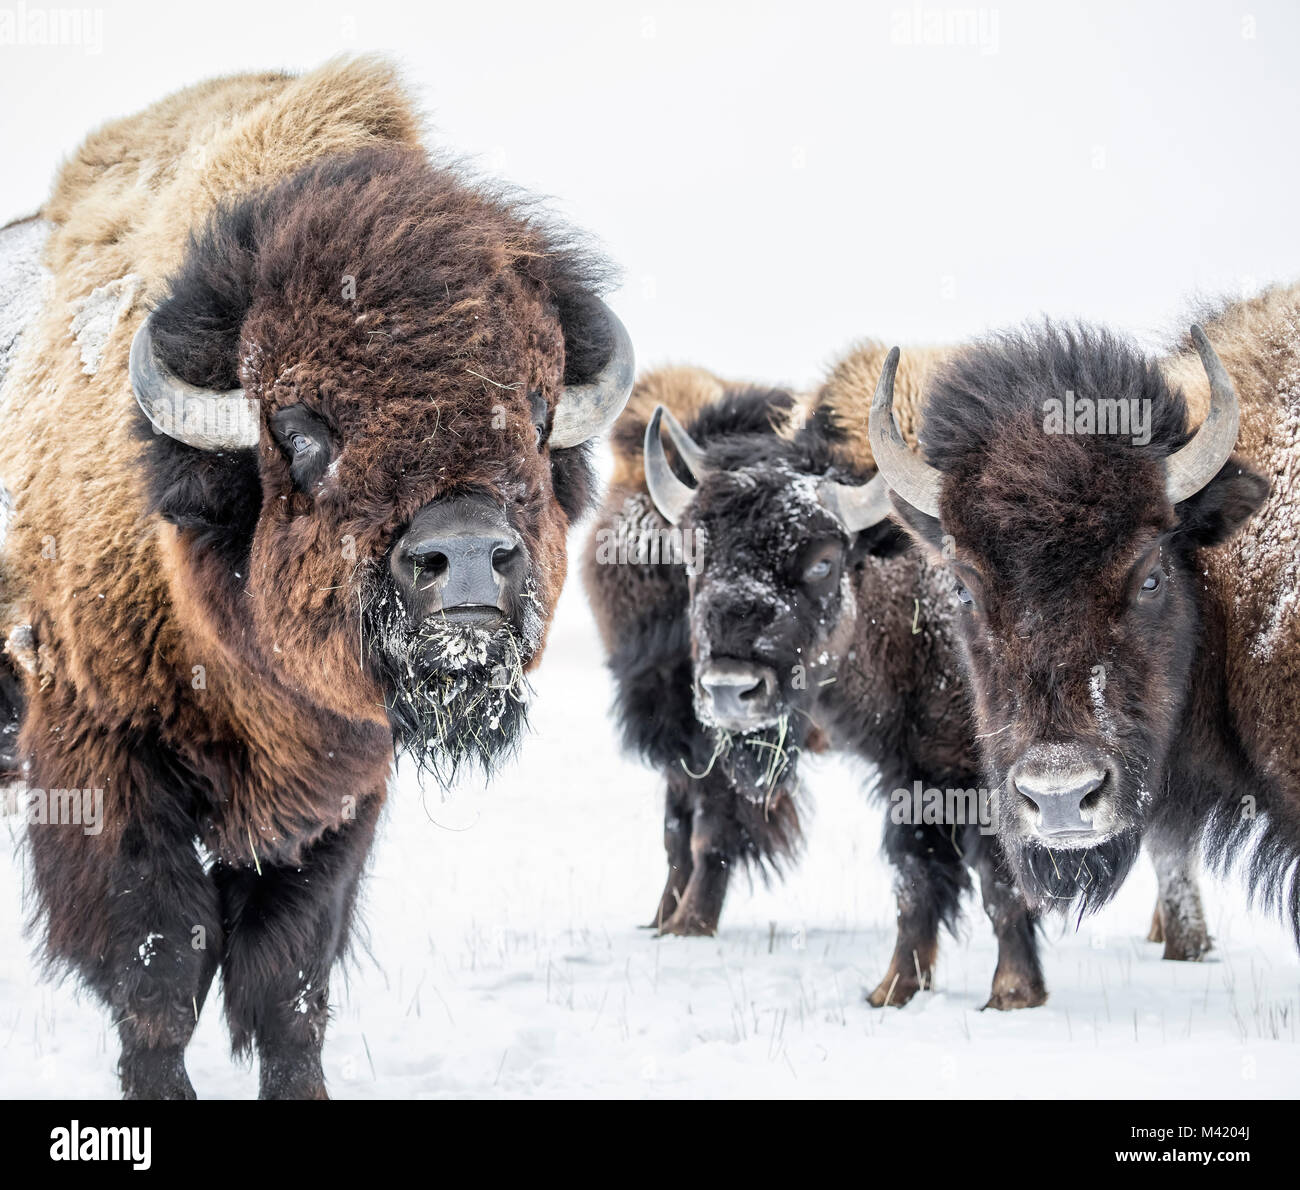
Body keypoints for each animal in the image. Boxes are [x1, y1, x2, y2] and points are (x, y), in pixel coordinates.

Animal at [0, 55, 634, 1097]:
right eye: (301, 430)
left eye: (539, 414)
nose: (467, 556)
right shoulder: (101, 756)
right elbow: (157, 970)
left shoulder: (339, 794)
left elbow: (287, 983)